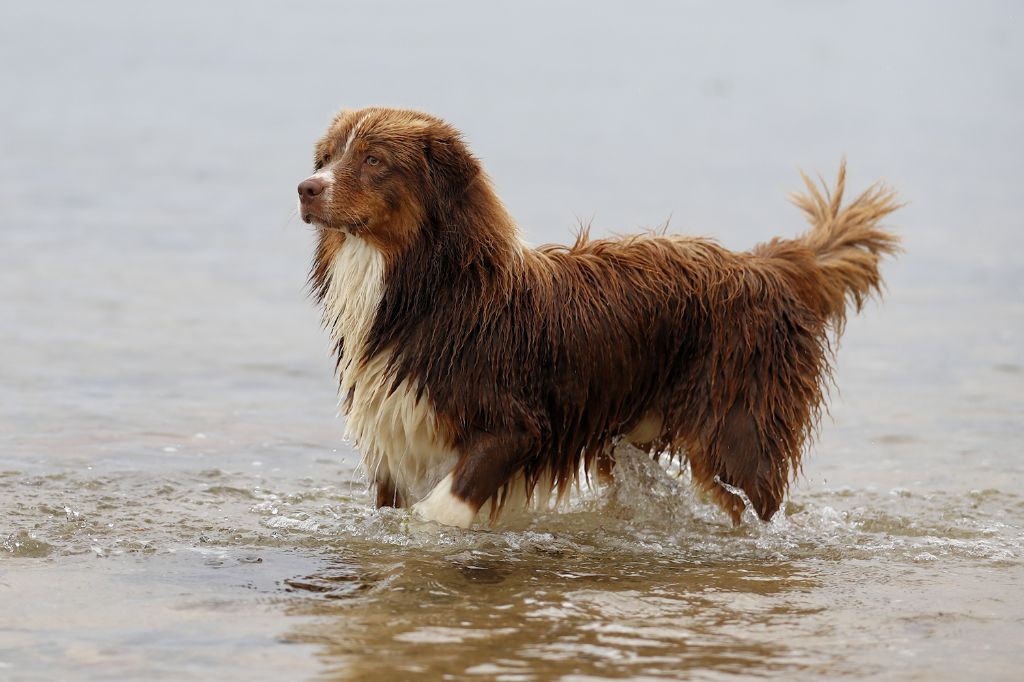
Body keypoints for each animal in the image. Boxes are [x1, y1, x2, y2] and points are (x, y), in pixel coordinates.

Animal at [299, 107, 905, 524]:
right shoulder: (396, 443)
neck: (430, 290)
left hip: (738, 429)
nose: (306, 188)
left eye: (374, 160)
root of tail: (769, 264)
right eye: (326, 157)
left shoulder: (515, 424)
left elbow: (444, 509)